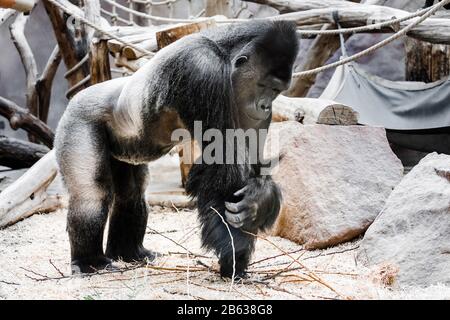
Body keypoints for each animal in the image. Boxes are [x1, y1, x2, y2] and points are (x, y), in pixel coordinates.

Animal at [55, 20, 298, 278]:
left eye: (276, 91)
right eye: (263, 85)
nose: (265, 106)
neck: (225, 53)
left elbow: (248, 168)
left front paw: (259, 201)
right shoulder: (202, 68)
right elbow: (223, 167)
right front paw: (234, 254)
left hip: (123, 148)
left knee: (132, 192)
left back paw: (128, 252)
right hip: (78, 117)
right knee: (92, 193)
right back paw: (90, 262)